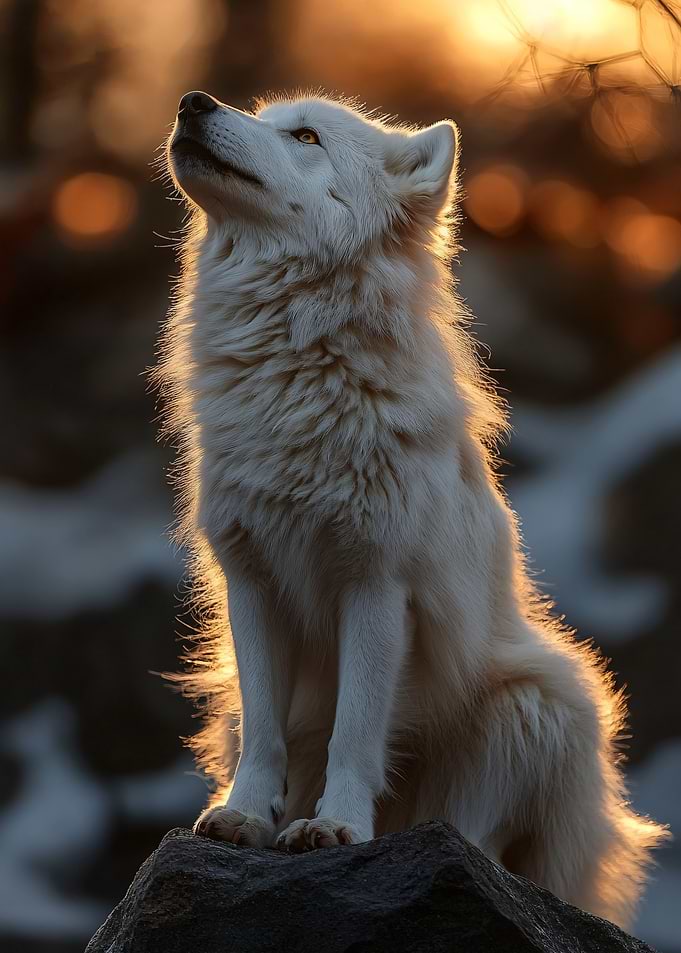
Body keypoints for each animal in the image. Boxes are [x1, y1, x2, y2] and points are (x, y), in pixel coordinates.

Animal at [158, 89, 667, 928]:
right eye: (266, 117)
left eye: (305, 136)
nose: (192, 102)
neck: (293, 372)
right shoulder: (252, 583)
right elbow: (266, 733)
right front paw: (247, 817)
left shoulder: (375, 585)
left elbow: (356, 732)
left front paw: (333, 827)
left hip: (545, 702)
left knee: (471, 837)